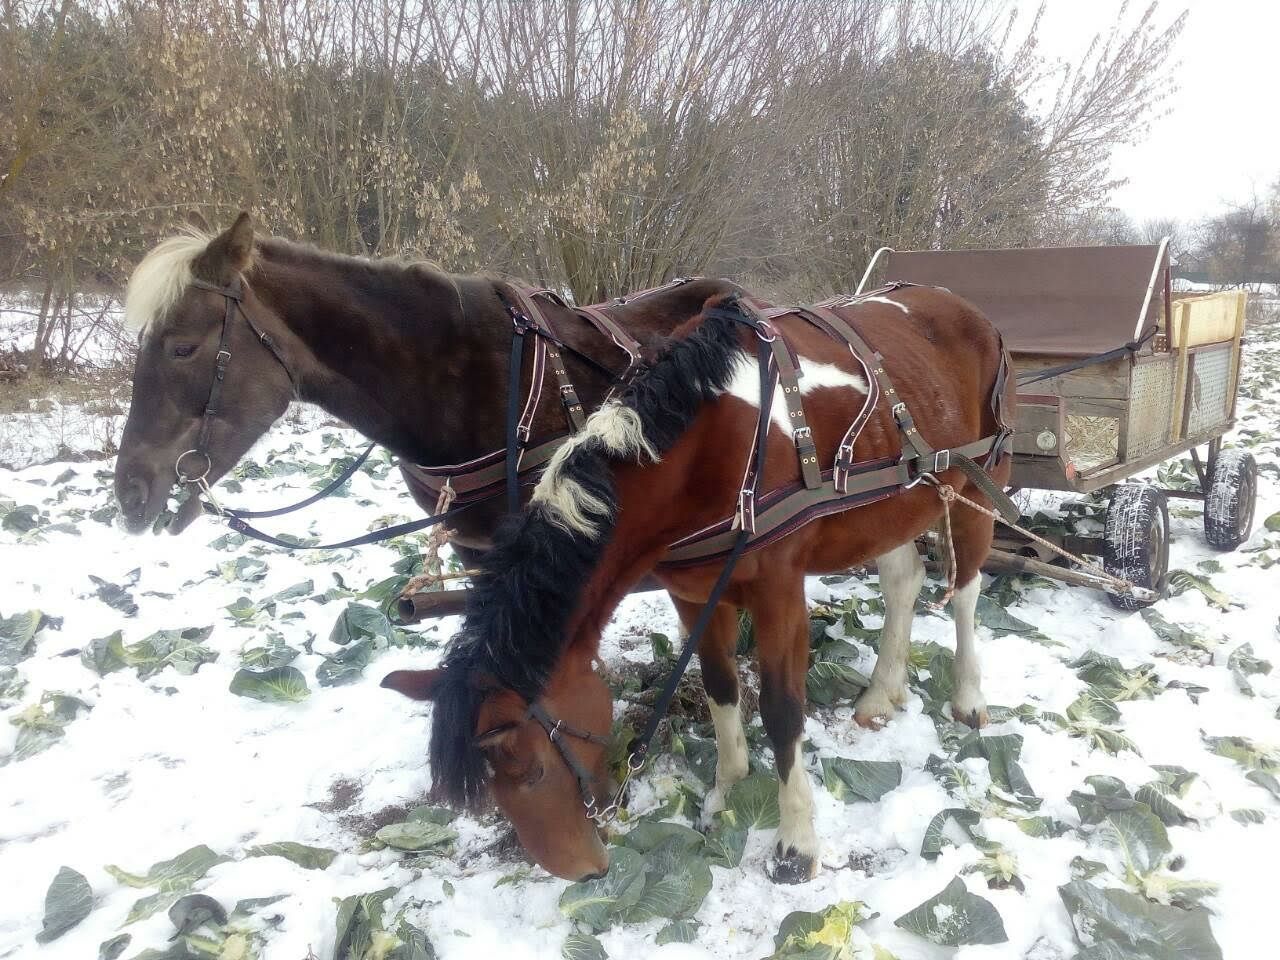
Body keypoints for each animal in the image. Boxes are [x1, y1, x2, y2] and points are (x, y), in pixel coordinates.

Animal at [384, 288, 1013, 885]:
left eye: (533, 768)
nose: (581, 870)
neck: (707, 445)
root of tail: (962, 306)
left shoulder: (779, 593)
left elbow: (782, 711)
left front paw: (796, 843)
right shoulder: (690, 594)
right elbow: (719, 687)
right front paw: (725, 791)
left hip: (979, 484)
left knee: (965, 593)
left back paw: (969, 698)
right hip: (892, 507)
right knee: (903, 581)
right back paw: (883, 692)